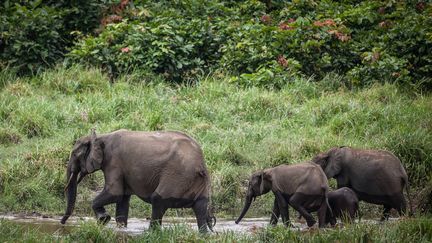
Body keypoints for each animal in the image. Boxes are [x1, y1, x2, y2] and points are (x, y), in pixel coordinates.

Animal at [60, 130, 215, 233]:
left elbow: (115, 193)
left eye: (75, 155)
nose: (62, 223)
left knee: (158, 200)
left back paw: (151, 233)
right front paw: (120, 229)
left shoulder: (114, 162)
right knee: (200, 206)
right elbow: (122, 199)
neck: (100, 136)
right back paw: (204, 234)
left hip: (177, 176)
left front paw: (103, 219)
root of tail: (201, 162)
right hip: (195, 180)